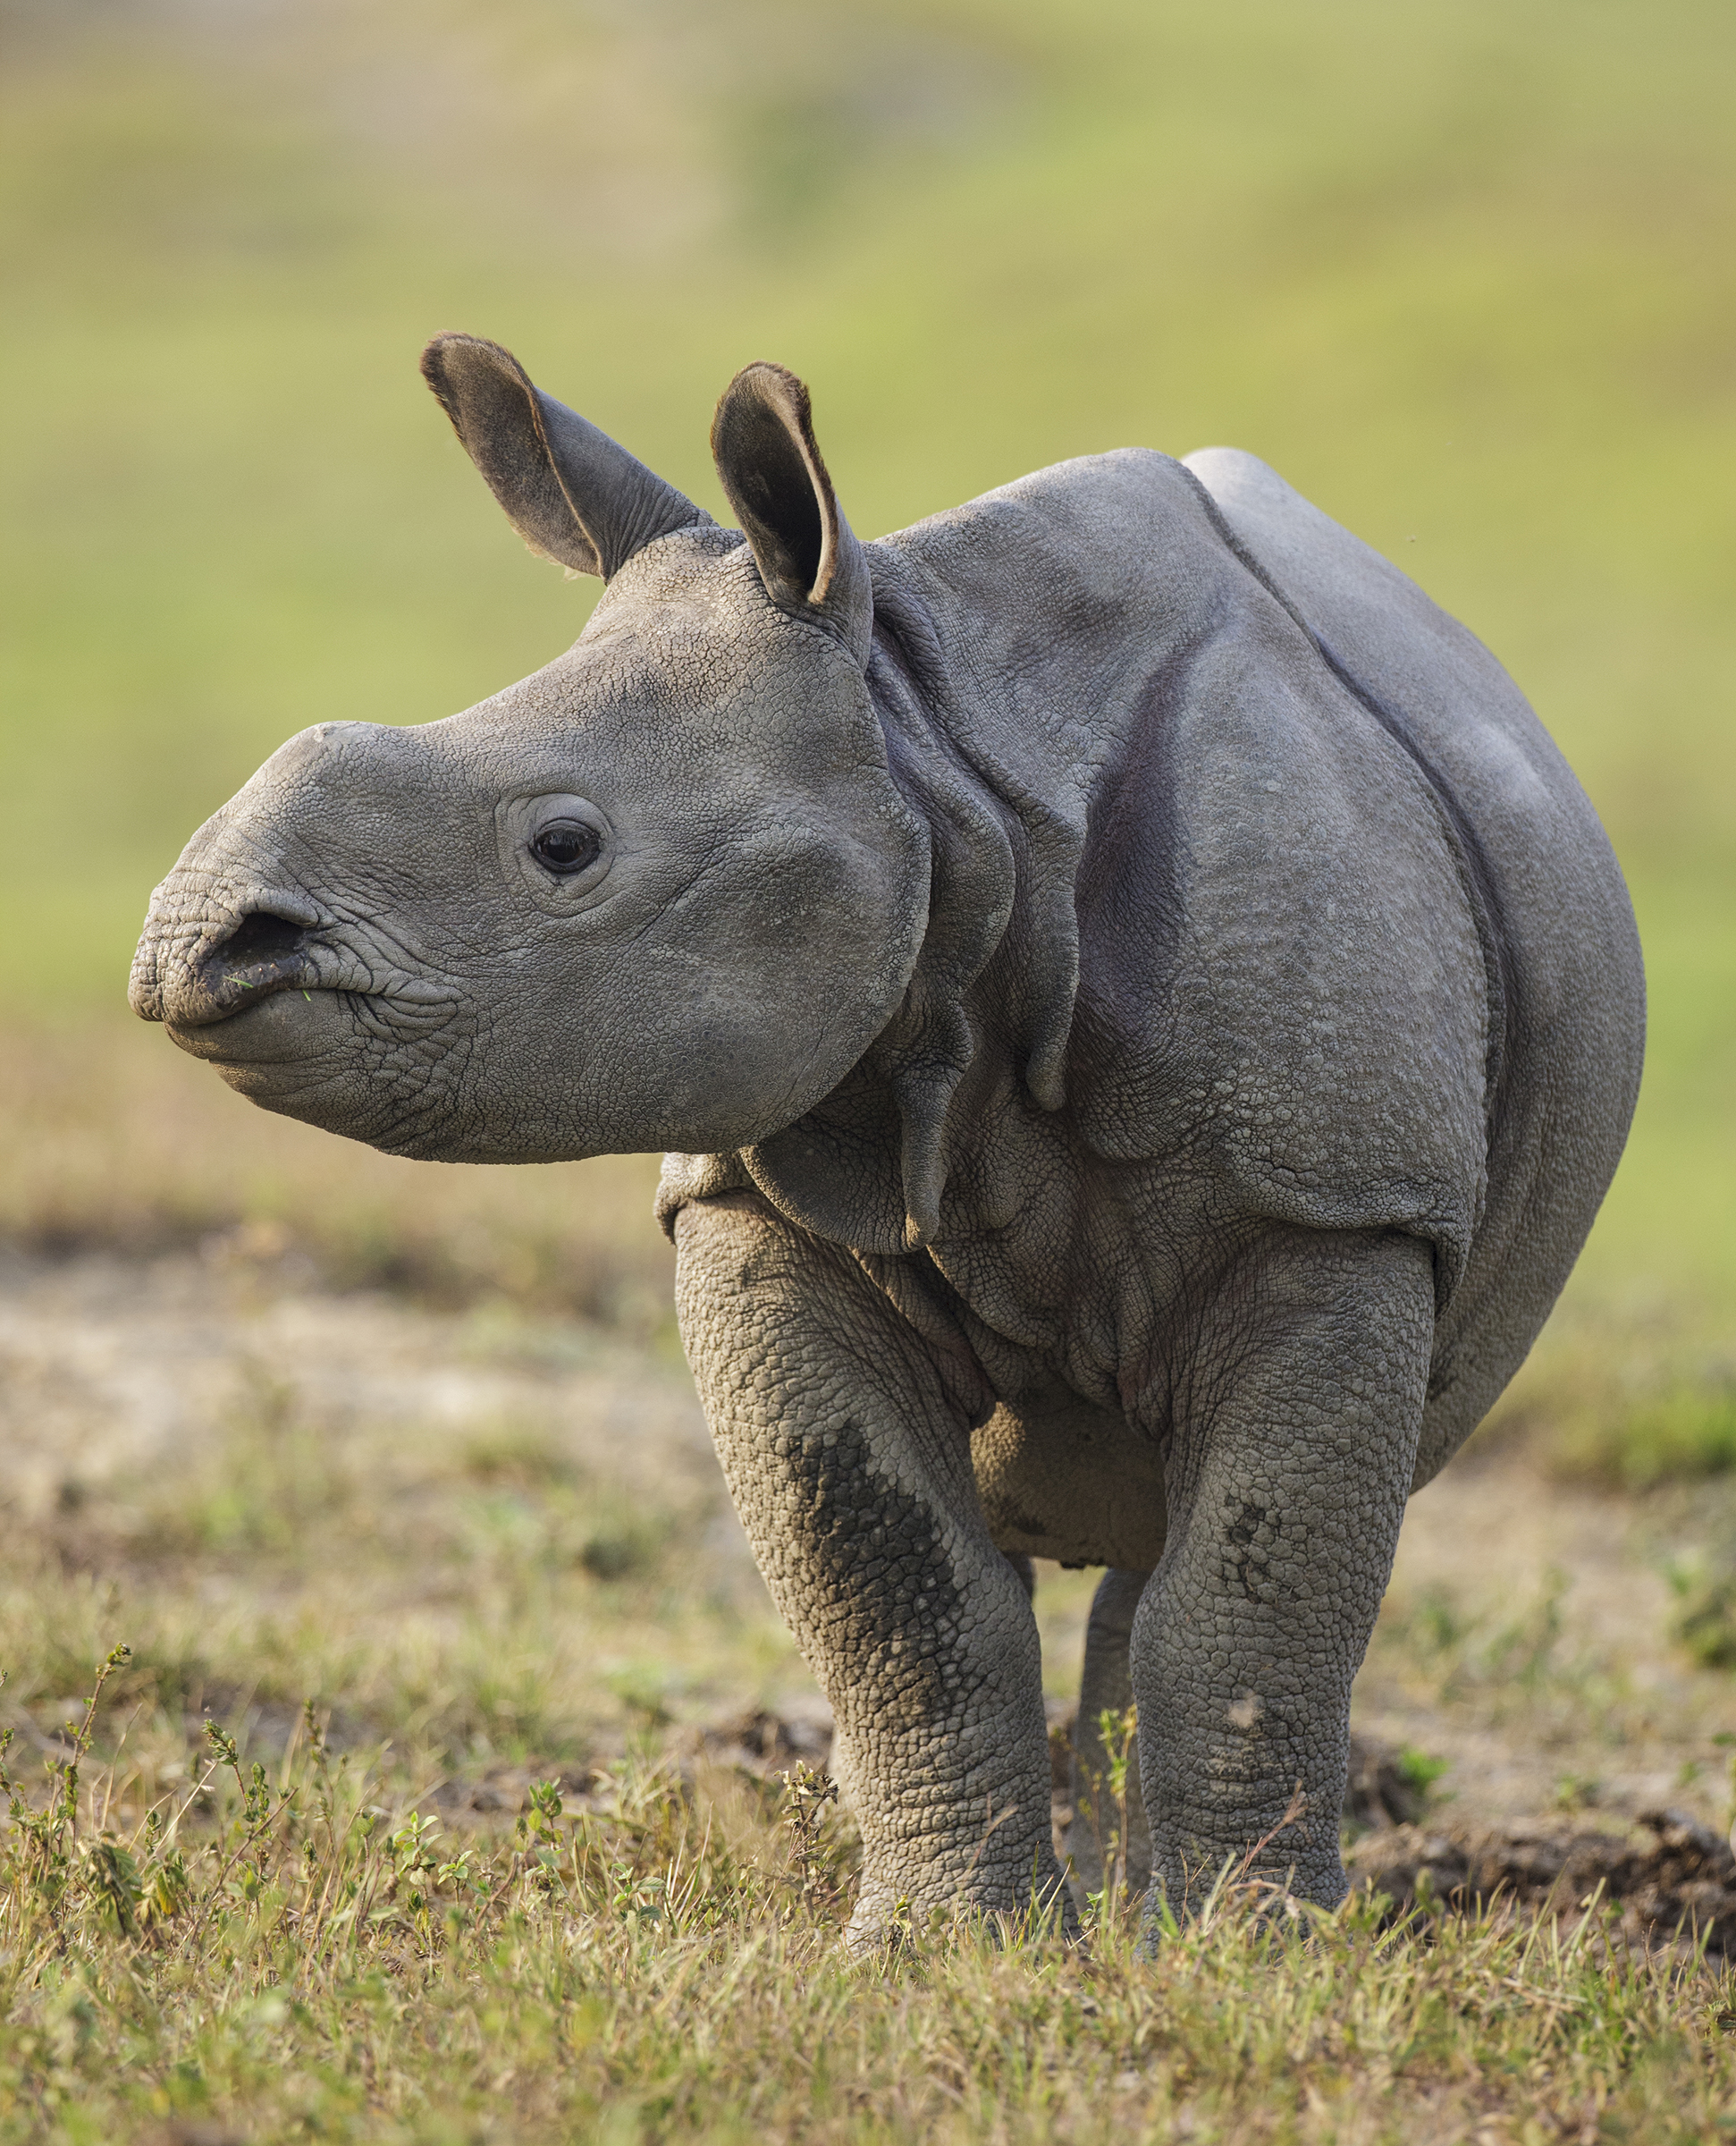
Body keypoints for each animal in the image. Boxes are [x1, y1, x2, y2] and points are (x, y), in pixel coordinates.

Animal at [131, 334, 1644, 1946]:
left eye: (562, 848)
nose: (197, 949)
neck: (939, 753)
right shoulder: (752, 1196)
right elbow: (898, 1592)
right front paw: (945, 1947)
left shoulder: (1333, 1200)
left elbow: (1248, 1601)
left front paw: (1248, 1953)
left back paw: (1149, 1915)